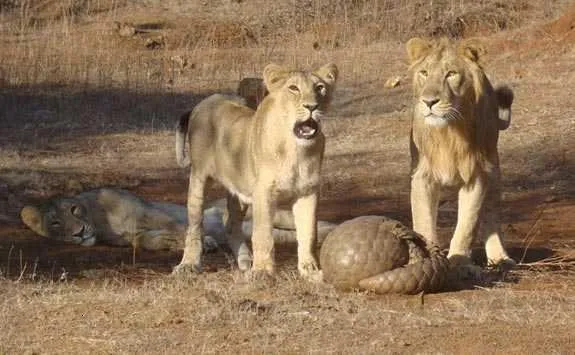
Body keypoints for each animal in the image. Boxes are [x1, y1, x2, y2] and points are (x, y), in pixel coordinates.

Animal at [174, 63, 338, 278]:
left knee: (230, 224)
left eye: (320, 88)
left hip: (239, 188)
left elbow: (308, 232)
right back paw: (189, 264)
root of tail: (202, 103)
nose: (312, 107)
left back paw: (246, 260)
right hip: (199, 178)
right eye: (293, 88)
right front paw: (262, 271)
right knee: (194, 225)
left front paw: (310, 269)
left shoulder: (308, 192)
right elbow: (262, 234)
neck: (296, 150)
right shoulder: (263, 192)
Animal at [404, 37, 516, 274]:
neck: (448, 132)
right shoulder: (421, 176)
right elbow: (423, 221)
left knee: (492, 214)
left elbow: (468, 223)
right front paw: (426, 259)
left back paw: (499, 258)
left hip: (494, 170)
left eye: (451, 74)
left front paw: (459, 261)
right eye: (424, 73)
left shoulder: (477, 174)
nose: (429, 102)